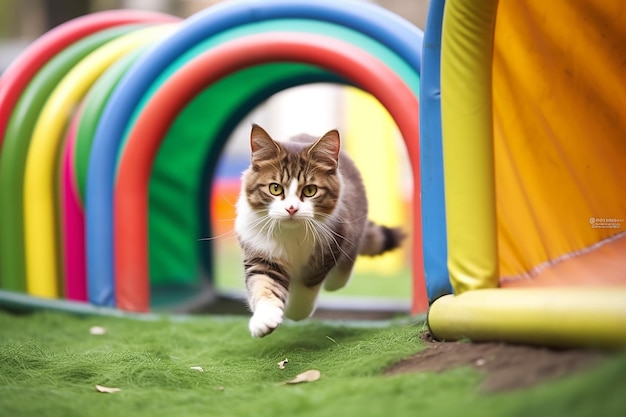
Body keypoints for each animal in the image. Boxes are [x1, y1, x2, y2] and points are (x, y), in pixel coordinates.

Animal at [234, 124, 404, 338]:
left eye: (310, 190)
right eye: (275, 188)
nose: (291, 209)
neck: (292, 234)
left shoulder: (331, 244)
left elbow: (307, 285)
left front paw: (294, 310)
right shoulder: (262, 254)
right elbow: (264, 285)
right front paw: (265, 320)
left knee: (342, 273)